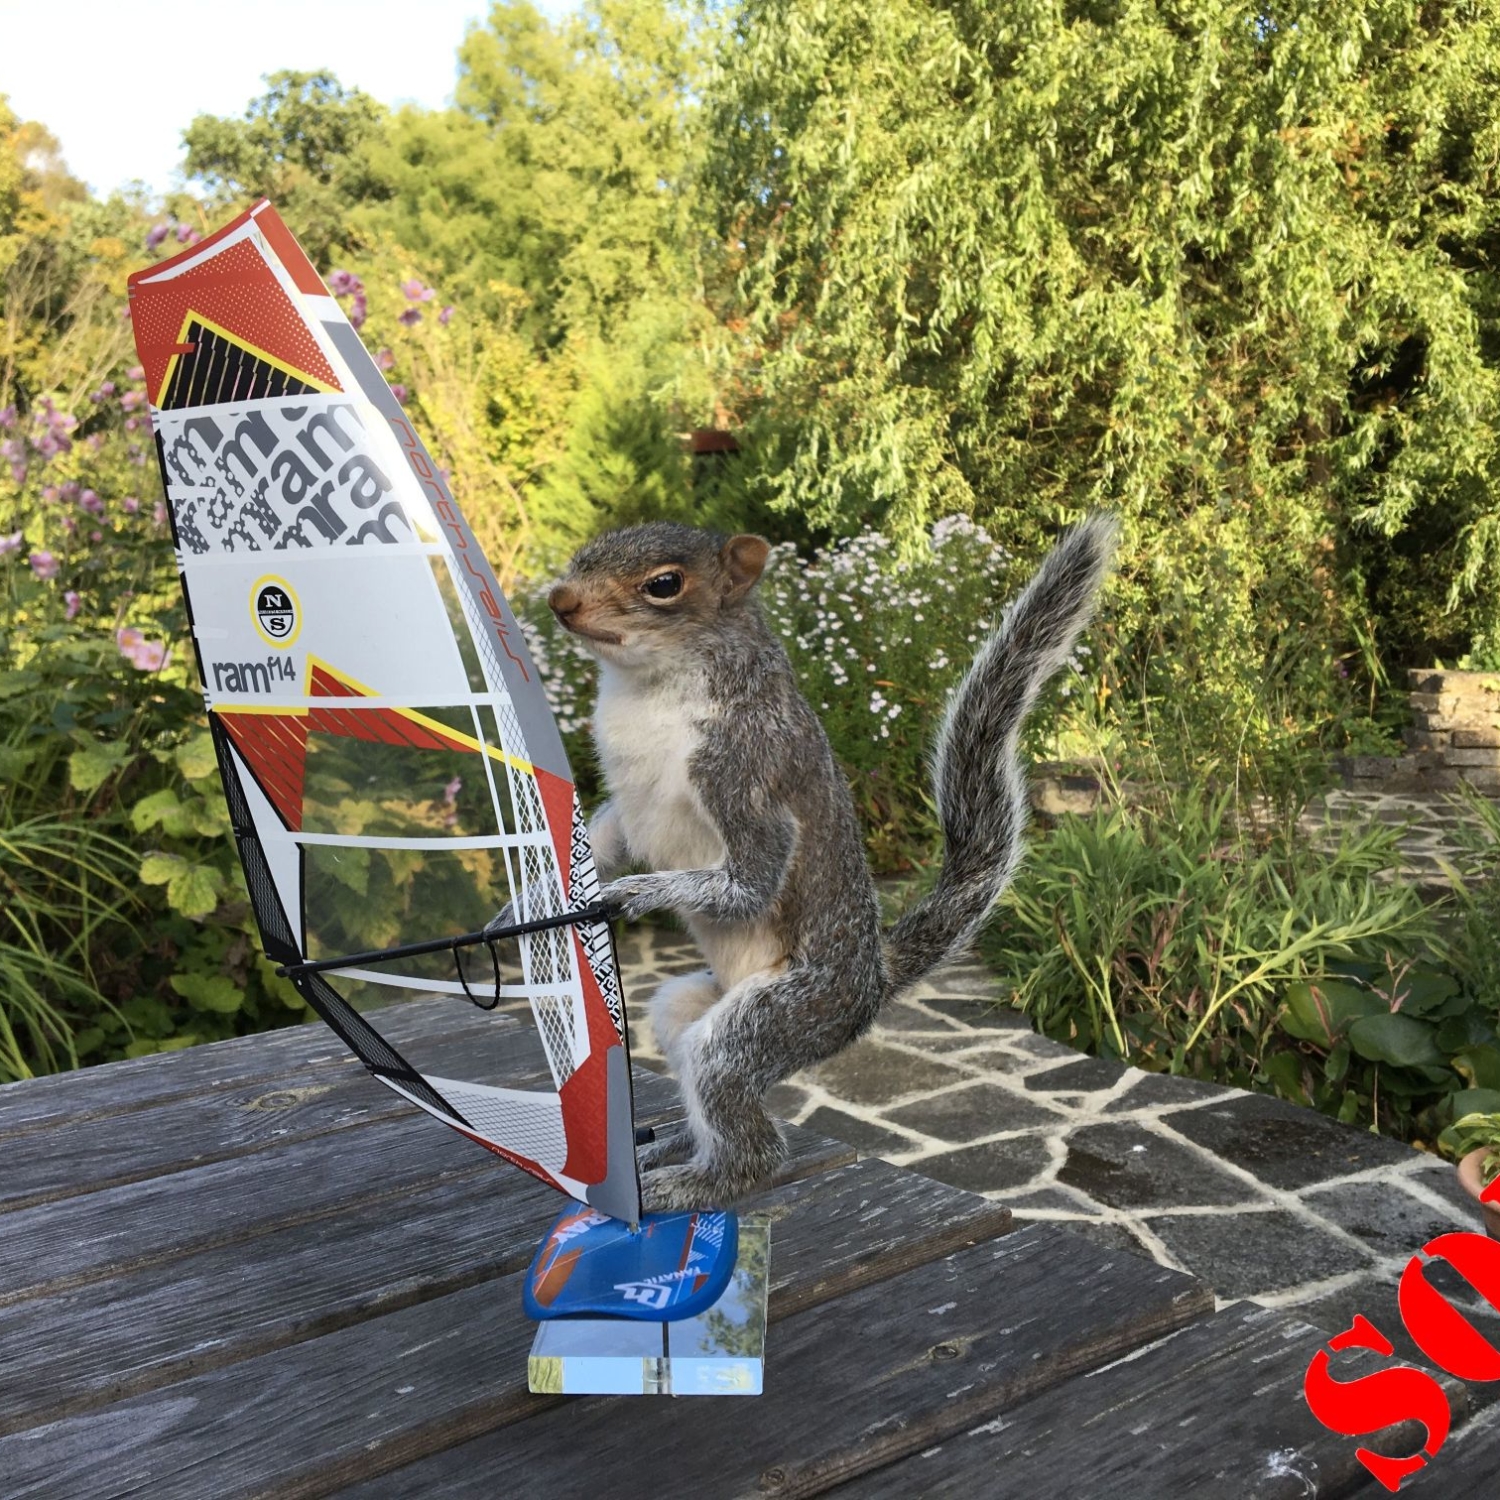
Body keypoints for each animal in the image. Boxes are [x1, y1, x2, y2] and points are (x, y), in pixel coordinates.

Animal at [510, 513, 1117, 1214]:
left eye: (664, 584)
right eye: (586, 553)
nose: (561, 600)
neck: (647, 689)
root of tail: (872, 984)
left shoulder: (745, 775)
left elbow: (750, 882)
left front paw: (635, 893)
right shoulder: (626, 810)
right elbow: (601, 842)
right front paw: (527, 903)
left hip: (782, 1017)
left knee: (751, 1135)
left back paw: (692, 1182)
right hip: (688, 1007)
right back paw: (671, 1148)